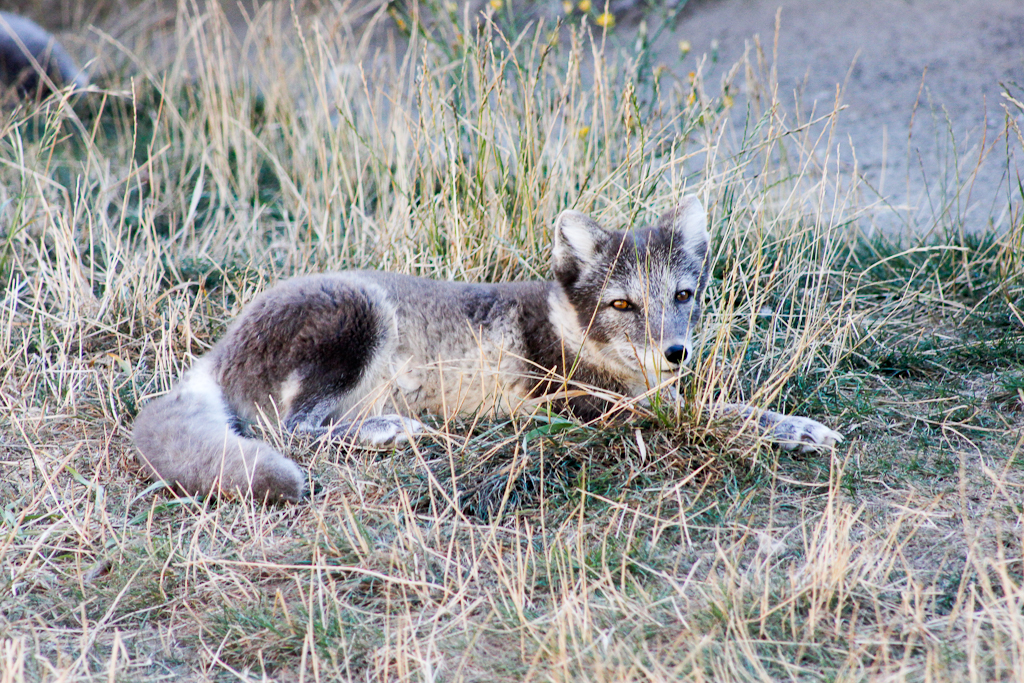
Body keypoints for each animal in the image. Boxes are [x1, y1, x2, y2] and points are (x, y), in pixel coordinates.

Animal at [133, 196, 842, 503]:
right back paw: (389, 430)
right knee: (295, 430)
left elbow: (718, 405)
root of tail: (216, 353)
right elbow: (724, 415)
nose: (675, 354)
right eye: (622, 305)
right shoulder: (598, 409)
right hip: (360, 321)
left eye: (684, 295)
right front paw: (793, 428)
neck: (567, 326)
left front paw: (792, 423)